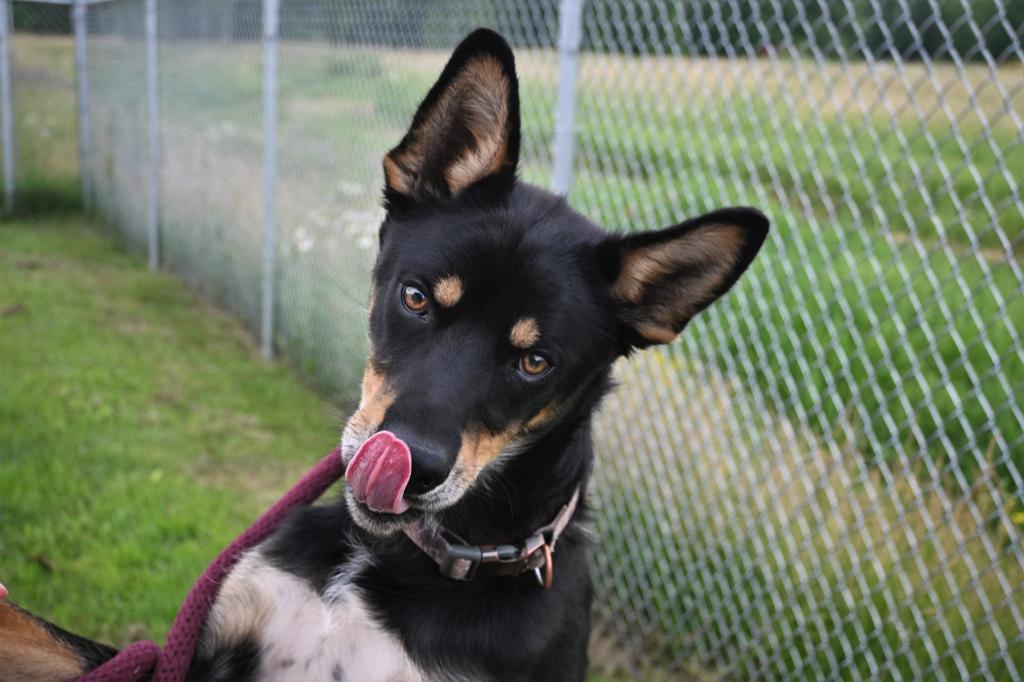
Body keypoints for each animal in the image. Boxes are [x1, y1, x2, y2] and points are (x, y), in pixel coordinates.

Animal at [0, 27, 770, 679]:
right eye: (417, 297)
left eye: (535, 362)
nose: (412, 467)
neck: (393, 564)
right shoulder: (198, 649)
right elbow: (33, 631)